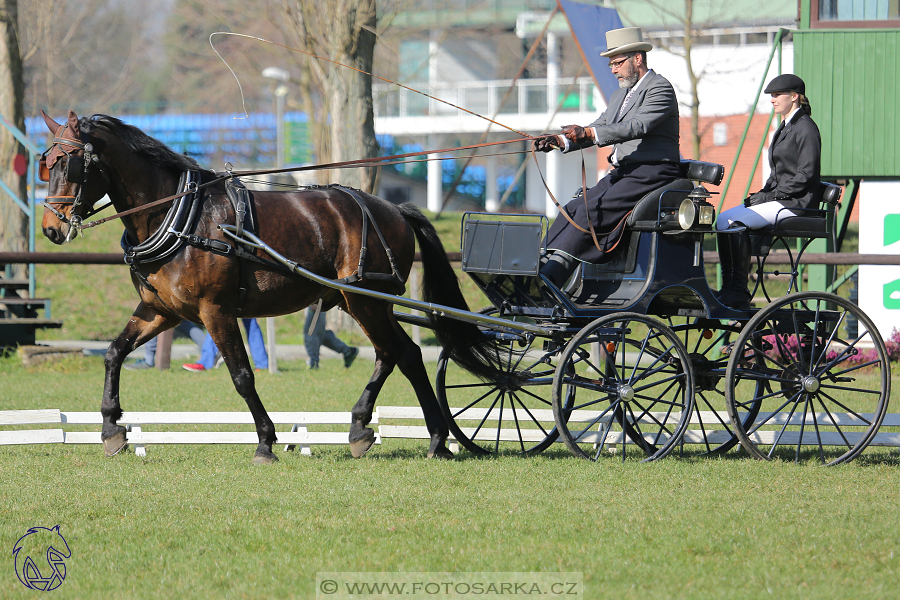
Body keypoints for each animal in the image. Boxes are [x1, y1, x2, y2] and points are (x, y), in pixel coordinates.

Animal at [40, 109, 506, 464]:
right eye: (46, 163)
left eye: (70, 163)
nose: (49, 229)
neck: (180, 215)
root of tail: (393, 207)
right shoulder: (162, 311)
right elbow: (114, 353)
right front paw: (111, 428)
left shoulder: (215, 311)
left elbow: (242, 376)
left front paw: (265, 441)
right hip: (359, 302)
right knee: (396, 354)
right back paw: (367, 429)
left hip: (366, 301)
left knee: (403, 354)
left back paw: (434, 439)